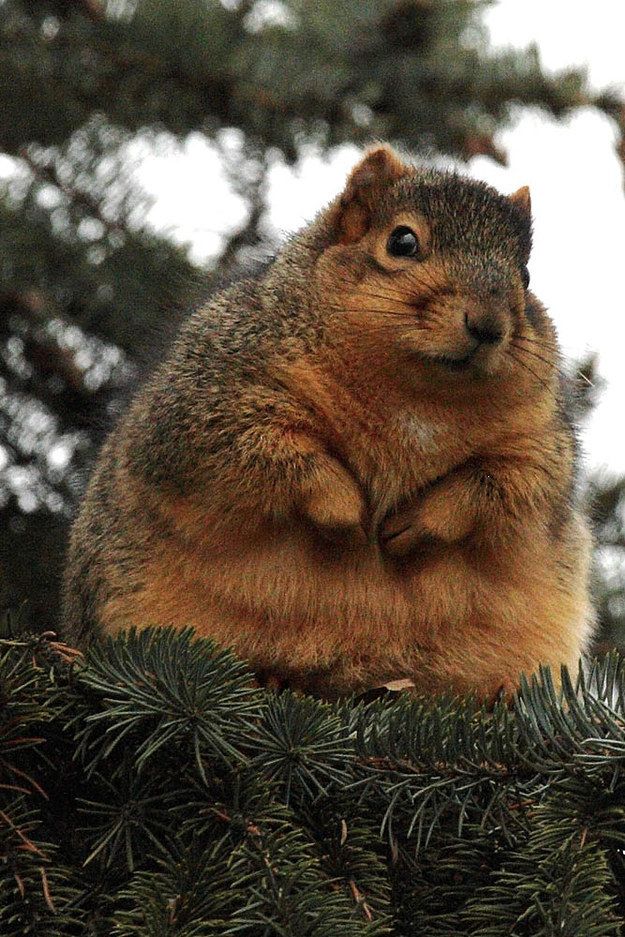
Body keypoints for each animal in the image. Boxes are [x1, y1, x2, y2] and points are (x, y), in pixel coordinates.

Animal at [62, 144, 596, 704]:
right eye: (402, 241)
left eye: (527, 277)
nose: (489, 324)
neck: (418, 396)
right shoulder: (213, 397)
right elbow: (272, 454)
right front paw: (346, 509)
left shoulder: (539, 441)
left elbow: (506, 487)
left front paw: (418, 522)